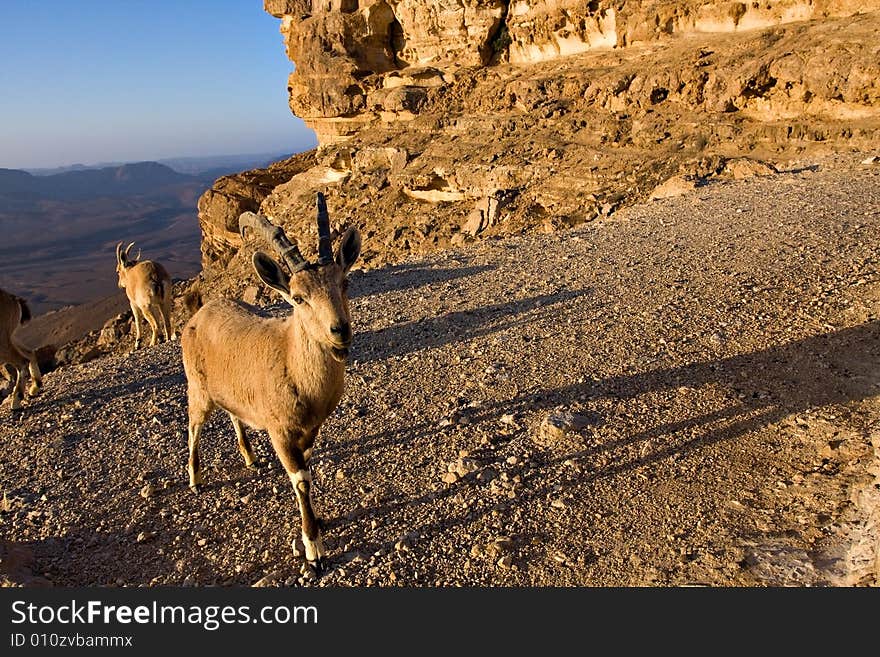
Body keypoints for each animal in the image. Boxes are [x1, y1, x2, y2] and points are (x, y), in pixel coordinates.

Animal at [180, 192, 360, 572]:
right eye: (298, 297)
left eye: (344, 282)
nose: (340, 331)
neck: (292, 362)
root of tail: (200, 313)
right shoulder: (281, 433)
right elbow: (301, 481)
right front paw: (314, 549)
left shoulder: (309, 430)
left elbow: (308, 467)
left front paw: (319, 524)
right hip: (198, 389)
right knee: (194, 426)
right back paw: (195, 479)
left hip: (230, 392)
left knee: (234, 414)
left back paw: (249, 457)